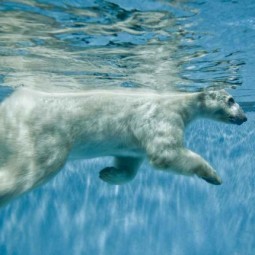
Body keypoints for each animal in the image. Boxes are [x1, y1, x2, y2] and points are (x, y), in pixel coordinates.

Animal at [0, 88, 247, 206]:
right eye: (231, 100)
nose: (244, 117)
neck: (182, 103)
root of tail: (10, 105)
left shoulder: (132, 142)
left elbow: (129, 161)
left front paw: (108, 173)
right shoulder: (164, 118)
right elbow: (165, 153)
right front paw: (213, 176)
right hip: (45, 135)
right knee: (37, 168)